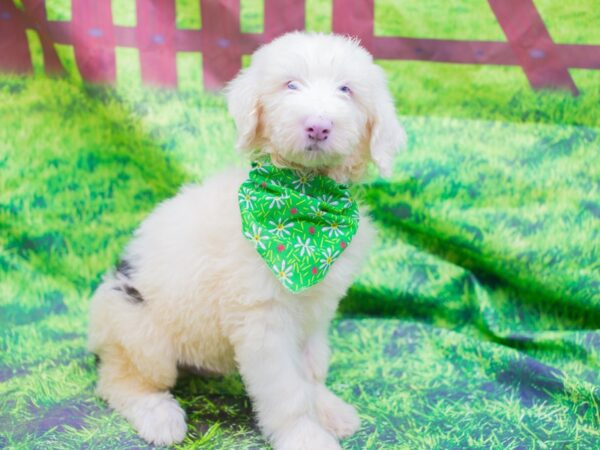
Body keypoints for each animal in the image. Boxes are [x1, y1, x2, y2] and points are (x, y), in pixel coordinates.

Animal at [86, 32, 406, 450]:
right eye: (290, 85)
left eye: (346, 90)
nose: (318, 127)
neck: (304, 201)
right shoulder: (263, 320)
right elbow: (288, 390)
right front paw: (305, 436)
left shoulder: (315, 312)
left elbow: (311, 372)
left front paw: (328, 409)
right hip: (141, 335)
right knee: (119, 380)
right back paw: (158, 416)